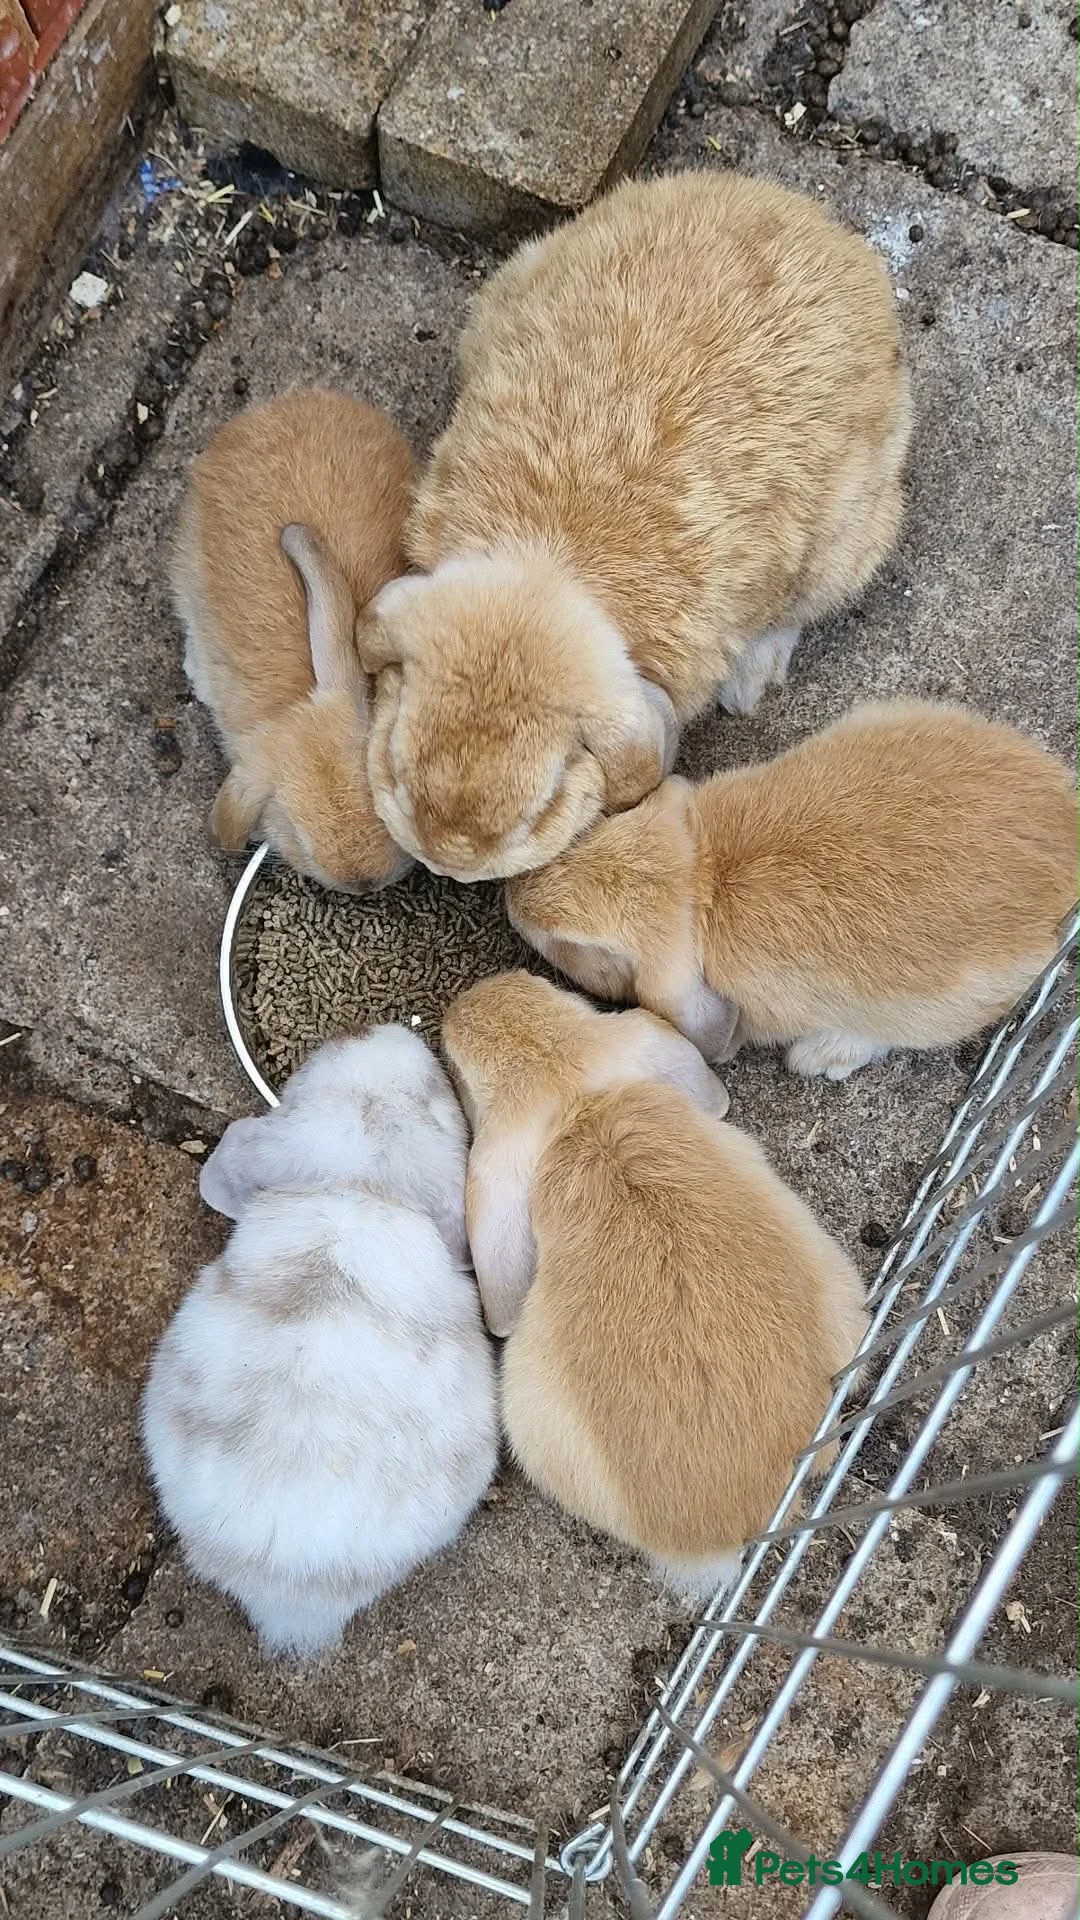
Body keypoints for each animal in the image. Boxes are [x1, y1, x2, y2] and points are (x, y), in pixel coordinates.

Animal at [358, 169, 912, 882]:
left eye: (544, 804)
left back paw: (751, 680)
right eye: (398, 769)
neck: (546, 569)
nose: (448, 862)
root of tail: (832, 236)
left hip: (848, 536)